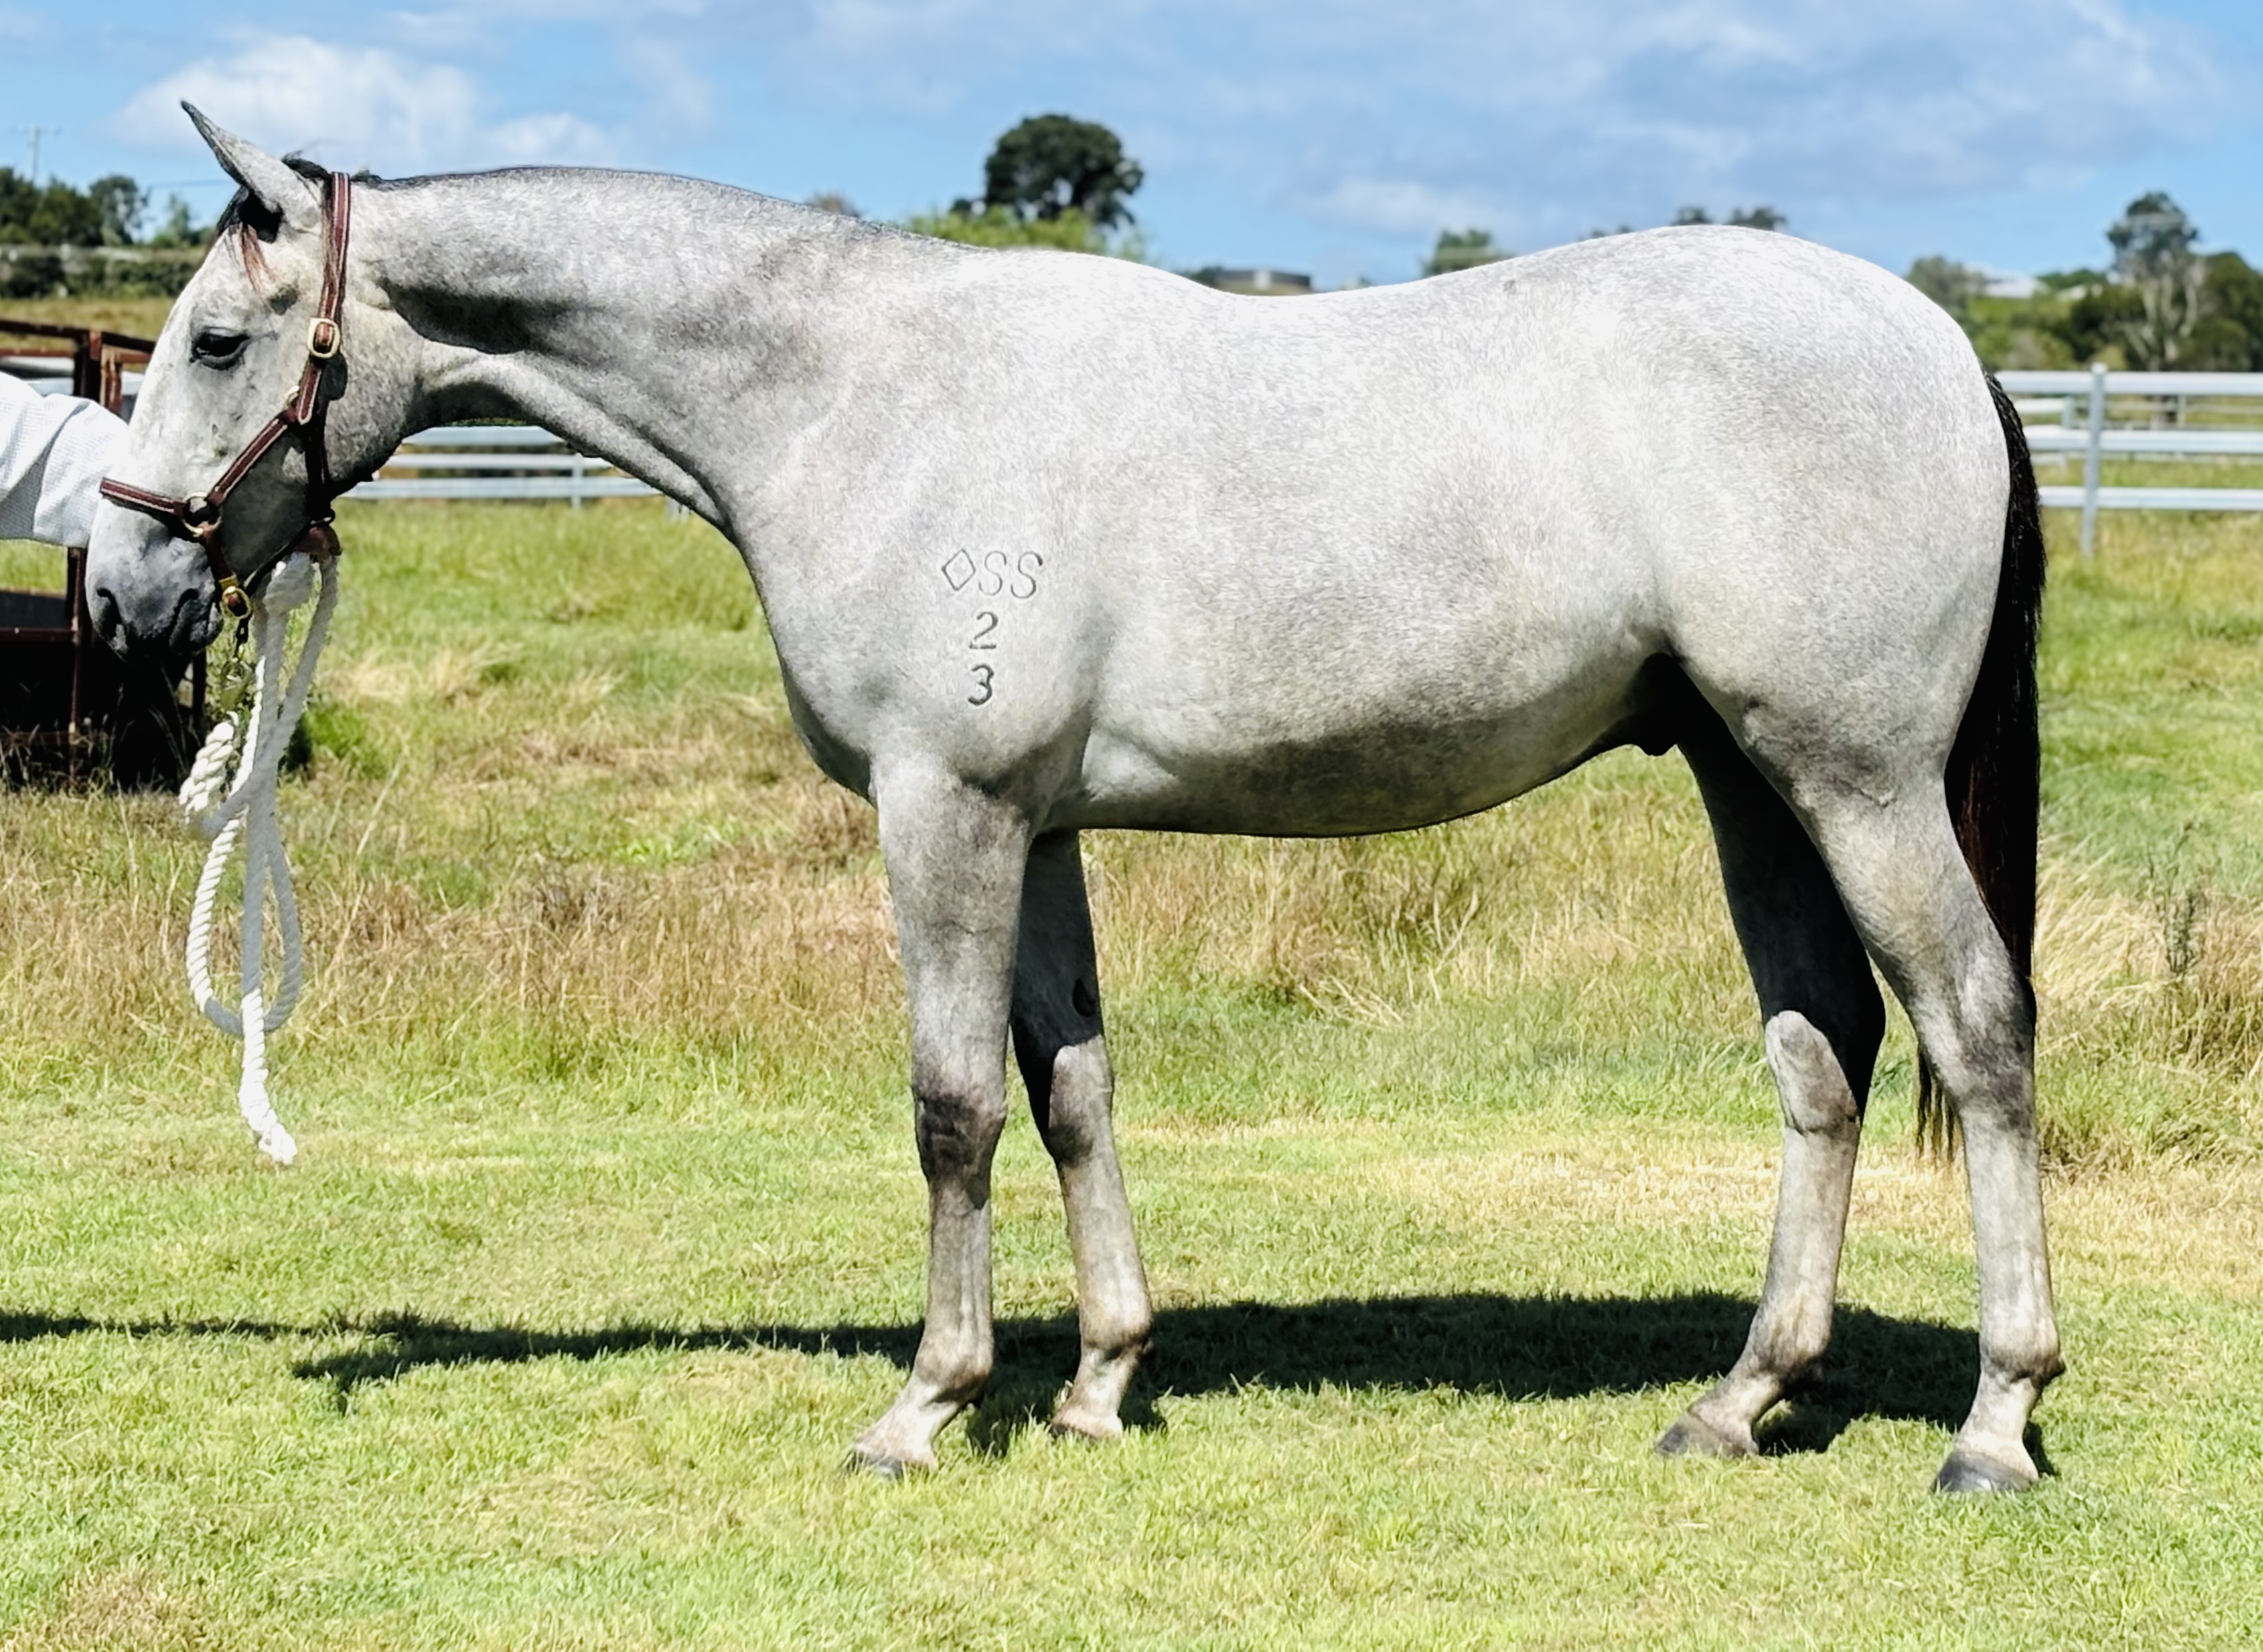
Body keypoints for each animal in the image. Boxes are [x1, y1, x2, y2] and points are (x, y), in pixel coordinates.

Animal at [88, 108, 2058, 1493]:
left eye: (214, 341)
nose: (122, 588)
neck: (851, 397)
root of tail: (1941, 345)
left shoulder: (940, 811)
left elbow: (956, 1107)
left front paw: (926, 1404)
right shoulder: (1032, 829)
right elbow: (1073, 1093)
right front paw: (1102, 1382)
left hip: (1857, 781)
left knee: (1974, 1034)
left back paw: (1993, 1420)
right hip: (1747, 777)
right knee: (1825, 1053)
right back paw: (1738, 1400)